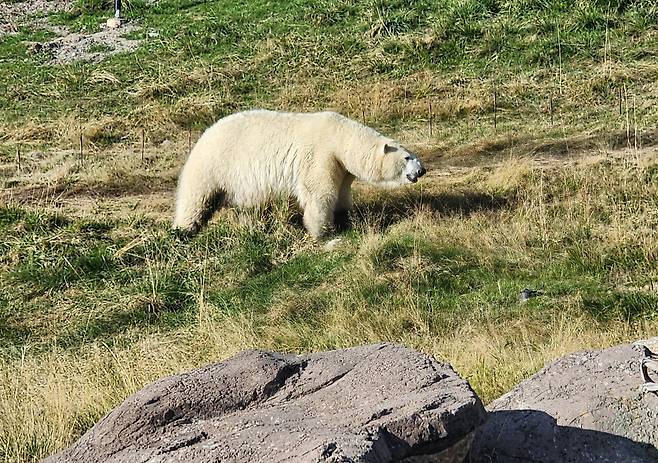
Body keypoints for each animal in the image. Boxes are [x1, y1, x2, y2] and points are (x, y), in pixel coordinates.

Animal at [172, 110, 426, 237]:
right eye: (407, 157)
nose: (422, 170)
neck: (339, 137)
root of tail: (202, 137)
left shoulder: (341, 167)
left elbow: (342, 193)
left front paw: (345, 219)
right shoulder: (321, 156)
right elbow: (320, 193)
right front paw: (322, 232)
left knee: (246, 208)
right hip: (213, 166)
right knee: (196, 199)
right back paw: (182, 232)